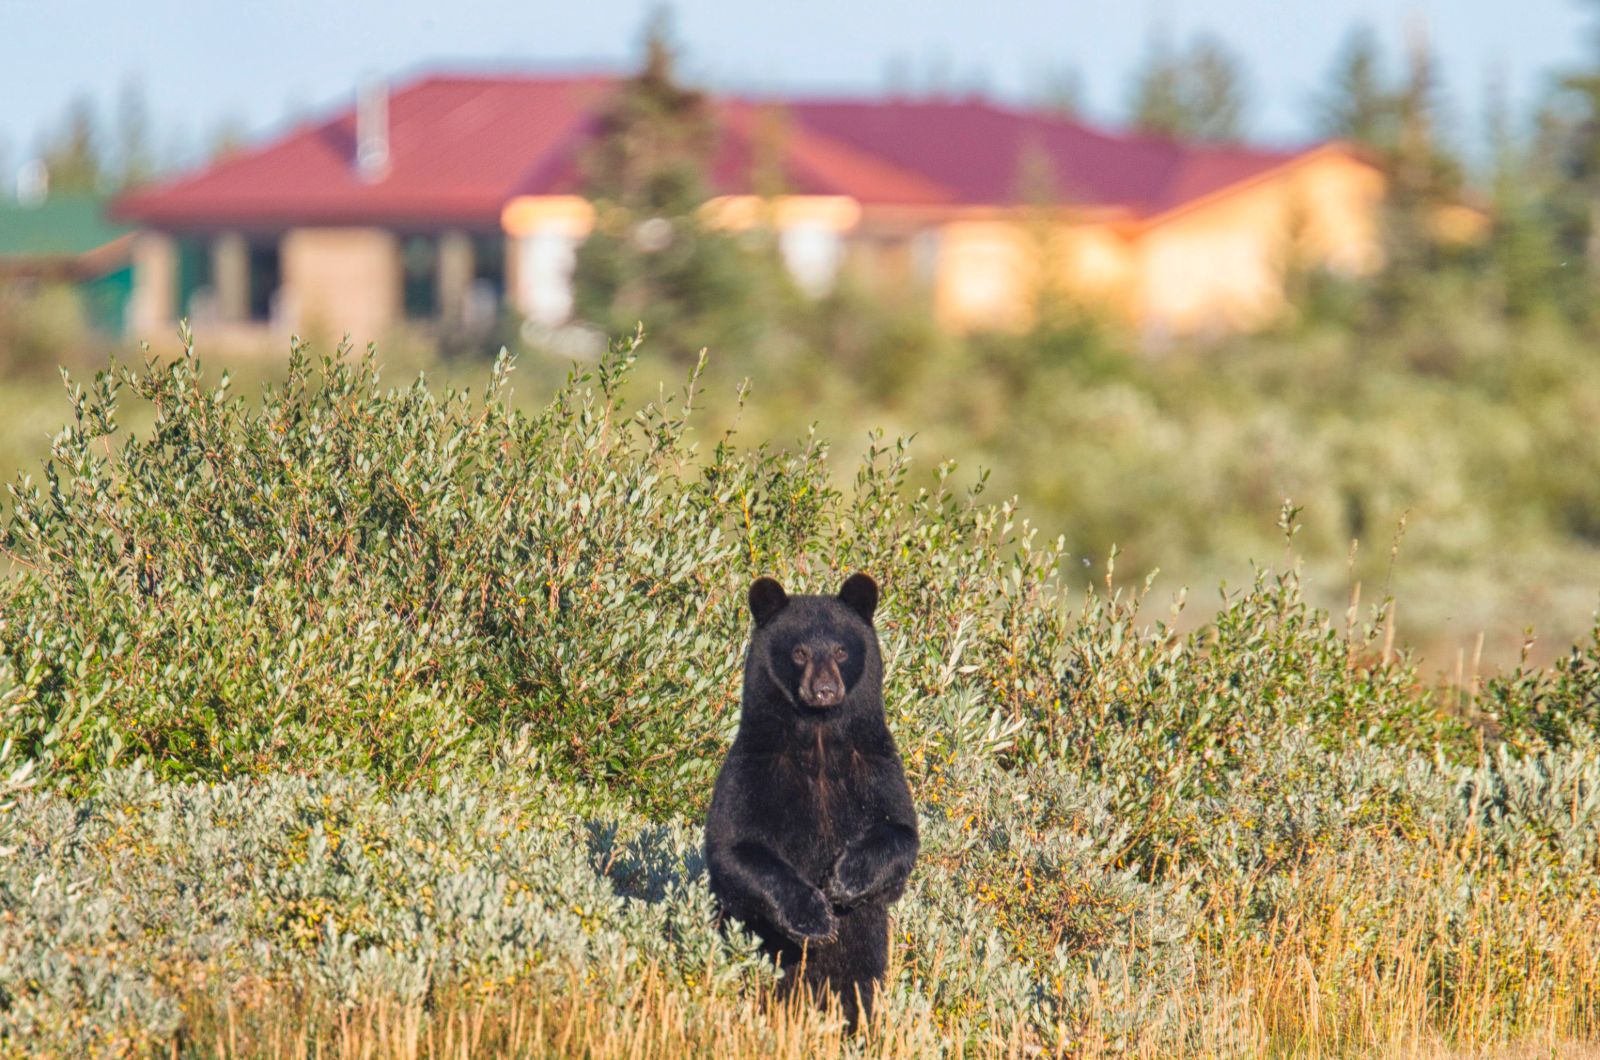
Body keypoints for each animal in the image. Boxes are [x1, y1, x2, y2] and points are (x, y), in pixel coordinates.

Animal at [704, 573, 919, 1028]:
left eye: (841, 650)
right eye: (799, 652)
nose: (824, 690)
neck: (819, 741)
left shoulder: (874, 762)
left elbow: (901, 832)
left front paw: (844, 879)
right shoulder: (756, 764)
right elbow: (733, 847)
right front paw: (815, 917)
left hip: (867, 954)